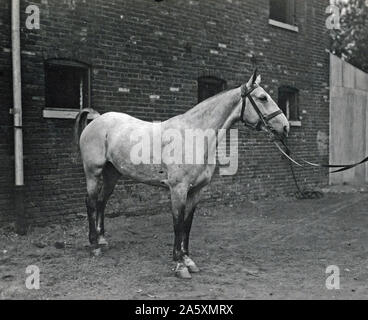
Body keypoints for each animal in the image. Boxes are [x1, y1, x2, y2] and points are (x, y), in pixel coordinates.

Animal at [74, 70, 288, 278]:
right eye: (262, 97)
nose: (285, 127)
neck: (194, 136)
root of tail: (97, 119)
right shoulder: (178, 189)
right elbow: (177, 223)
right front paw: (179, 265)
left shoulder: (196, 191)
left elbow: (187, 224)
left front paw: (188, 260)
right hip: (93, 172)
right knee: (91, 202)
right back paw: (94, 245)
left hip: (112, 174)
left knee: (101, 202)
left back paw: (102, 240)